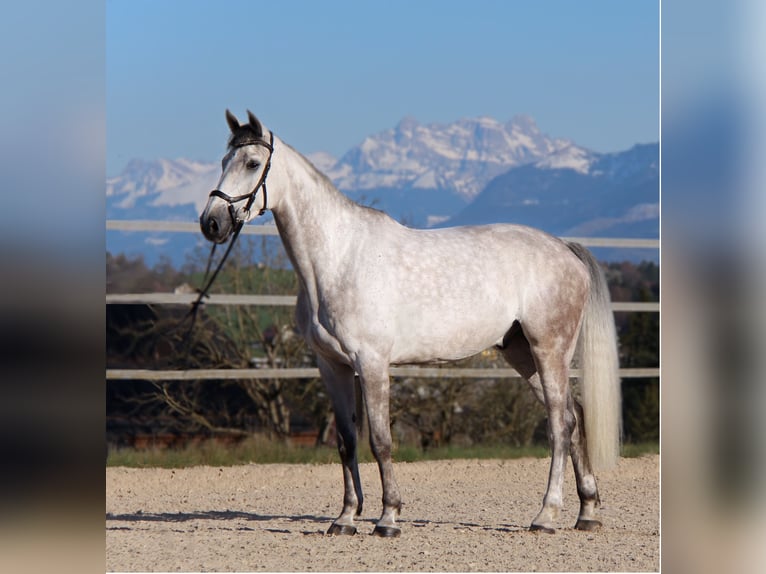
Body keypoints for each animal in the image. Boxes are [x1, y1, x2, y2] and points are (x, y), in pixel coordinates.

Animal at [200, 110, 622, 537]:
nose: (211, 223)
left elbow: (381, 440)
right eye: (224, 161)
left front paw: (388, 517)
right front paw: (345, 518)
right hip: (522, 354)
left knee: (558, 425)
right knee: (573, 417)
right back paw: (587, 512)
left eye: (253, 163)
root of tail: (564, 248)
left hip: (549, 349)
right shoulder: (332, 366)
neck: (337, 259)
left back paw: (546, 516)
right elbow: (346, 441)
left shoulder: (371, 363)